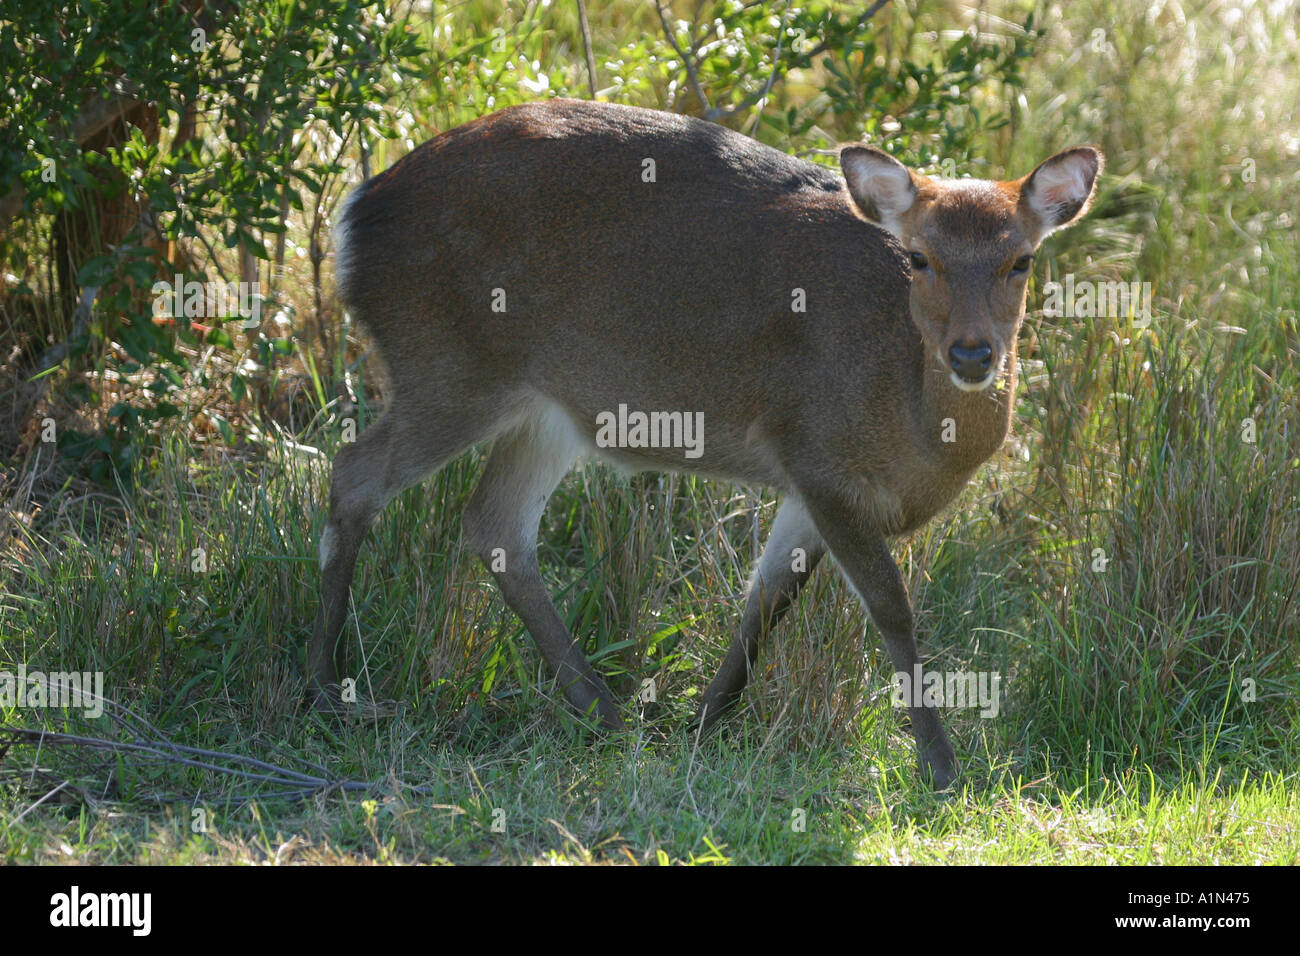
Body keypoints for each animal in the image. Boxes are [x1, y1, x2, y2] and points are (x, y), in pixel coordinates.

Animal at [312, 97, 1097, 790]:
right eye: (920, 257)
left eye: (1022, 260)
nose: (973, 353)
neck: (915, 431)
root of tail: (354, 214)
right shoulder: (817, 450)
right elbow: (890, 605)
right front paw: (942, 767)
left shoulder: (805, 484)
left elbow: (765, 602)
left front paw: (702, 725)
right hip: (449, 361)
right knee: (354, 473)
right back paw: (330, 689)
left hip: (544, 409)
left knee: (493, 523)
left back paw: (603, 711)